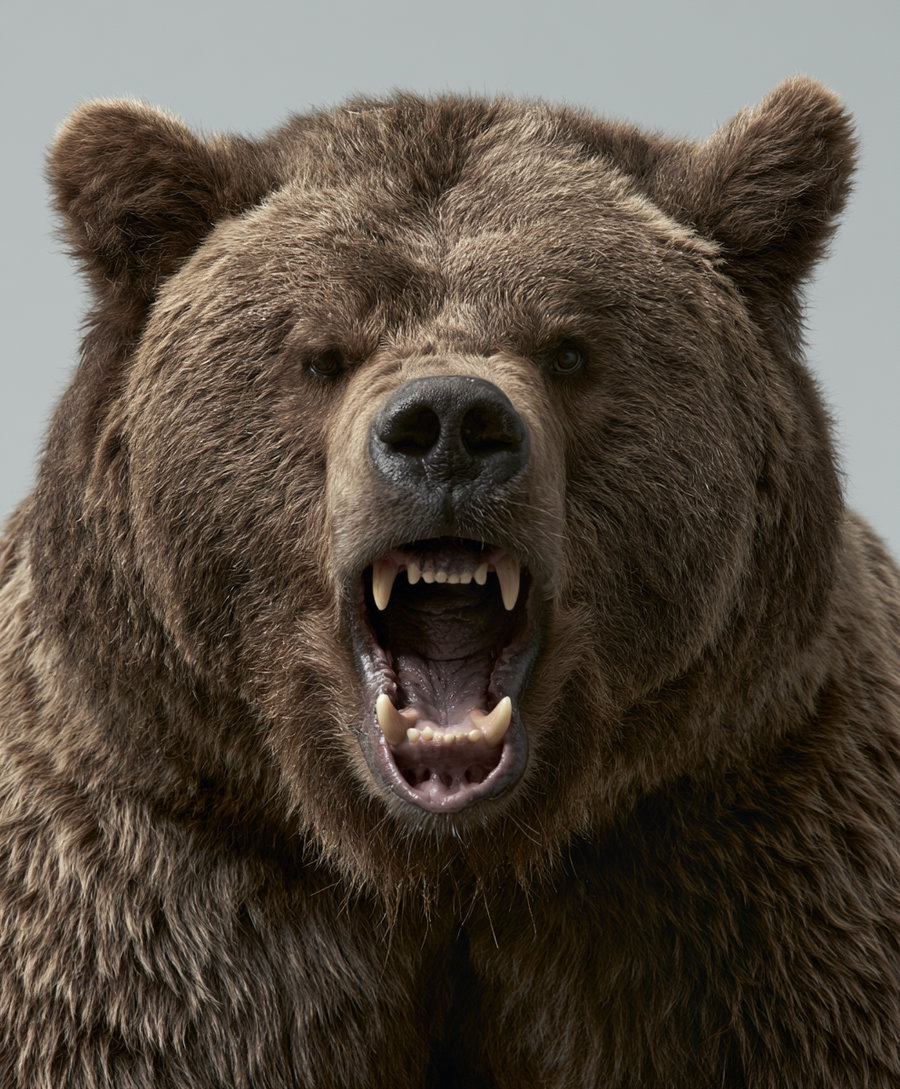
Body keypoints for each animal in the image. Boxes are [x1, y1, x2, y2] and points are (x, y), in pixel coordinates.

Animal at [0, 76, 898, 1088]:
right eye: (320, 353)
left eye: (570, 348)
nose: (449, 424)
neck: (441, 870)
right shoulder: (163, 893)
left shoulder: (745, 874)